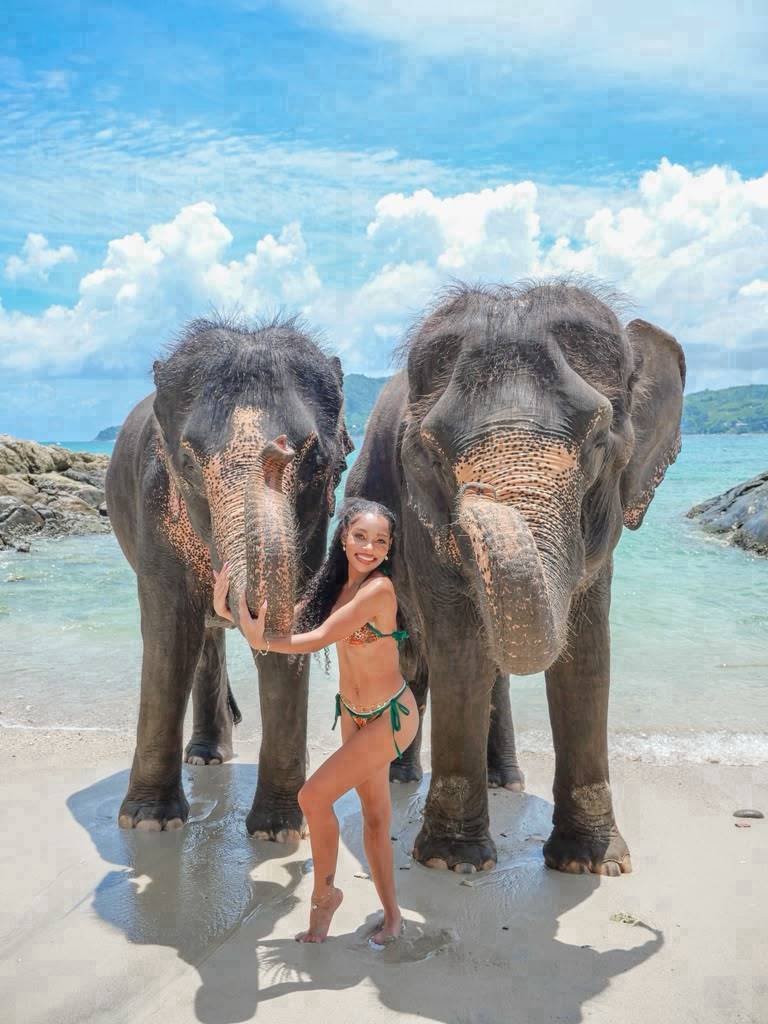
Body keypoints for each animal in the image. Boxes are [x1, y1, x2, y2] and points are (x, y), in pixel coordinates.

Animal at [106, 316, 352, 836]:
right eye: (187, 463)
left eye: (319, 463)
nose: (278, 449)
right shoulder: (154, 511)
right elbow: (169, 635)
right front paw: (148, 822)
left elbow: (287, 644)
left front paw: (279, 829)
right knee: (199, 638)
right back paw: (205, 758)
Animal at [345, 281, 685, 874]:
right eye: (430, 452)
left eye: (600, 440)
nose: (478, 493)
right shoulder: (417, 519)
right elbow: (461, 649)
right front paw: (453, 862)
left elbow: (588, 653)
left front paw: (592, 862)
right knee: (421, 658)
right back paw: (400, 776)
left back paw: (505, 780)